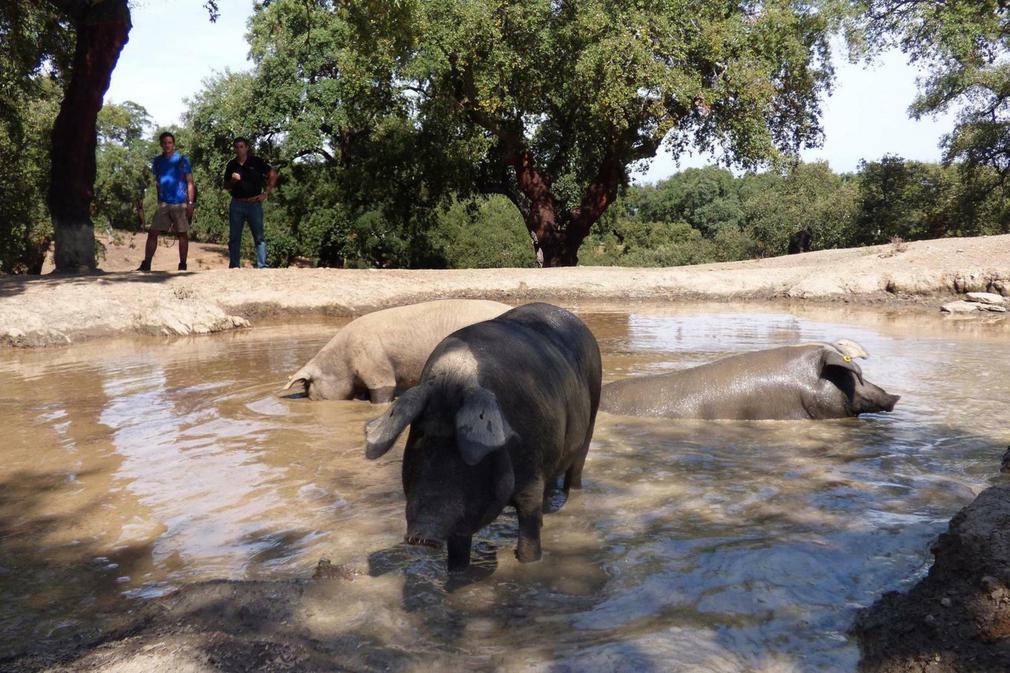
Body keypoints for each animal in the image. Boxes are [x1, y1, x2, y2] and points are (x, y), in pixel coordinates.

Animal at [363, 301, 597, 569]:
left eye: (460, 444)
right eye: (420, 436)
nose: (422, 535)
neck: (453, 379)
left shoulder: (532, 476)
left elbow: (528, 533)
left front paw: (529, 562)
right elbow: (458, 556)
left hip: (590, 420)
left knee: (576, 471)